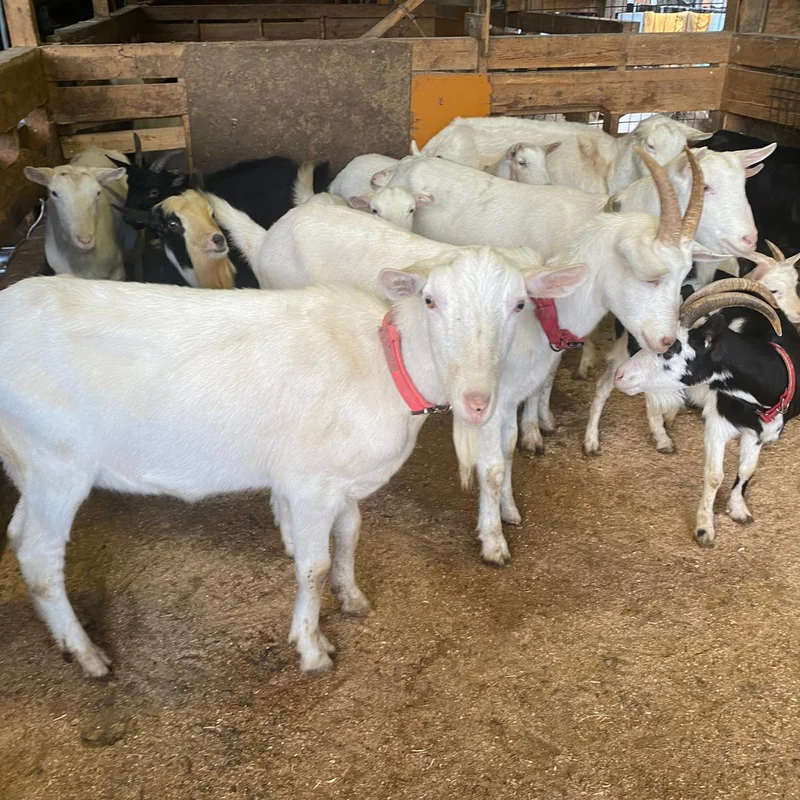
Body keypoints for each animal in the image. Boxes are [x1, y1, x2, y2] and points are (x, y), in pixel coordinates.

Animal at [0, 250, 583, 676]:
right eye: (431, 300)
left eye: (519, 305)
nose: (478, 402)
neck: (383, 365)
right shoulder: (309, 484)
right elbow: (313, 566)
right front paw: (313, 647)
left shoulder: (342, 480)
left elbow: (349, 534)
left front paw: (352, 597)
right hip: (58, 463)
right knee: (40, 558)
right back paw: (88, 655)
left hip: (29, 464)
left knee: (18, 533)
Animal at [614, 278, 796, 547]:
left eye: (671, 349)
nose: (621, 375)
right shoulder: (717, 423)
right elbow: (714, 476)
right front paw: (704, 528)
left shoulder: (760, 429)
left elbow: (747, 469)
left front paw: (738, 509)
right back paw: (662, 437)